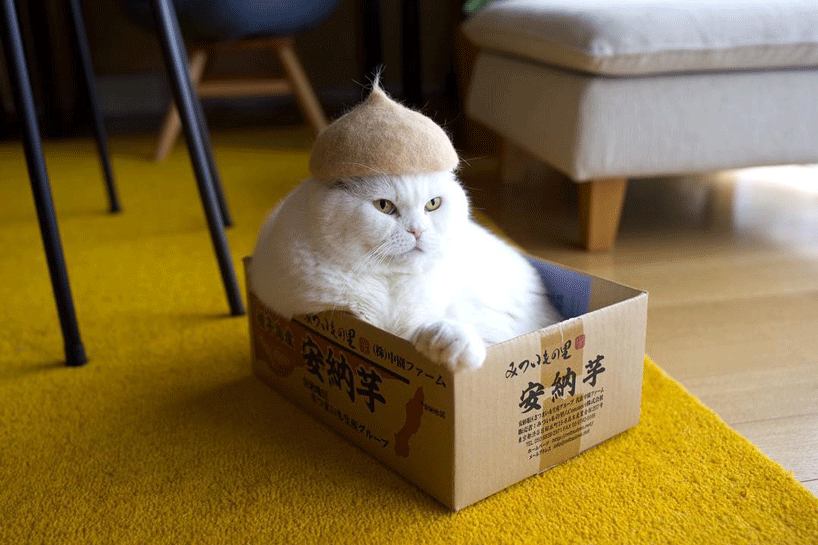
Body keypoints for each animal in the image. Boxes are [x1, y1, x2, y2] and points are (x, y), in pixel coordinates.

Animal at [249, 171, 564, 370]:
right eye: (383, 206)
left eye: (433, 204)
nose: (417, 231)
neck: (387, 281)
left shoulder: (414, 320)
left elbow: (426, 331)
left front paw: (452, 347)